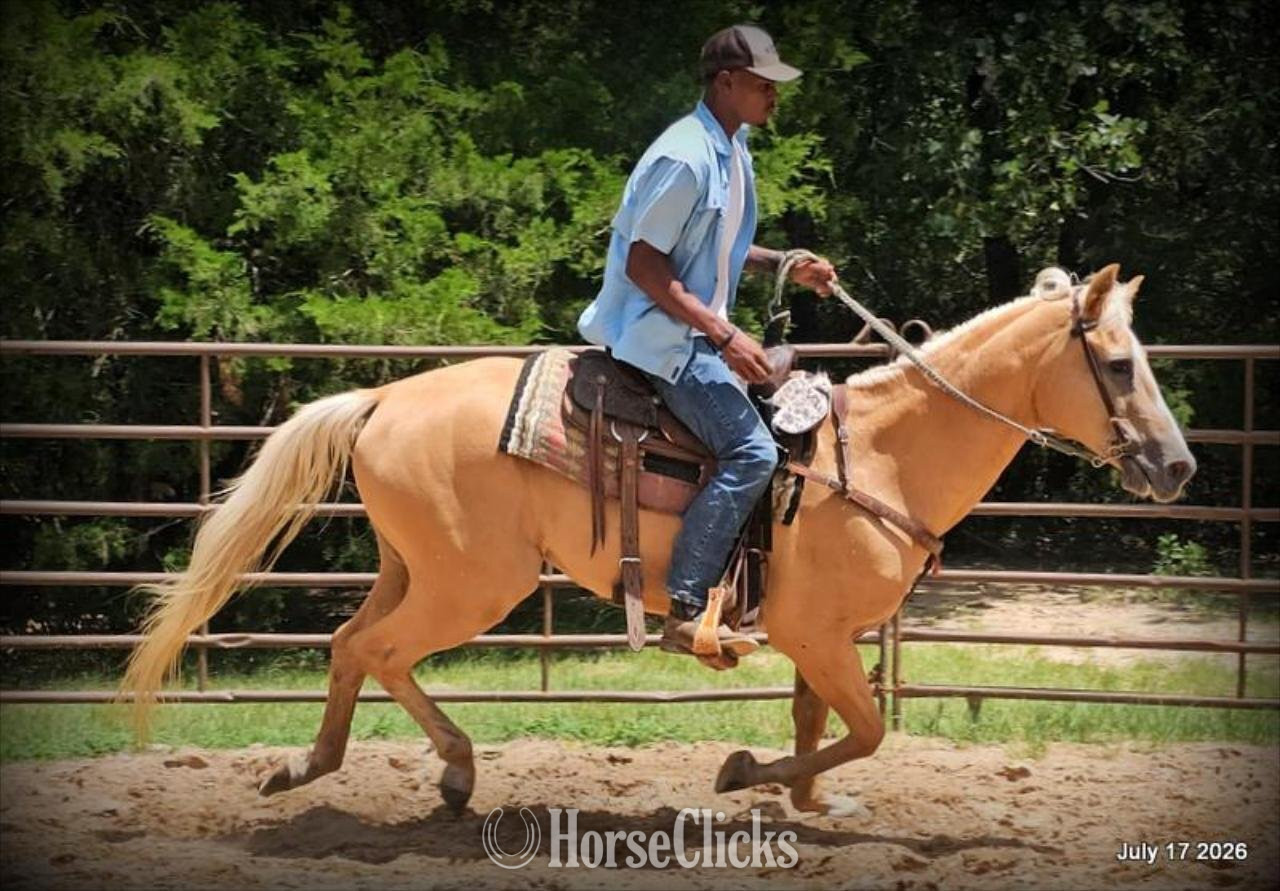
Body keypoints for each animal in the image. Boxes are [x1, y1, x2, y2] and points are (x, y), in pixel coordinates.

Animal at [122, 263, 1195, 817]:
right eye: (1117, 362)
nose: (1178, 465)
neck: (884, 454)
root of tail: (385, 397)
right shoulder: (816, 632)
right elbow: (867, 729)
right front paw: (744, 775)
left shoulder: (823, 636)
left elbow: (821, 723)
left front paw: (810, 806)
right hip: (473, 584)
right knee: (380, 650)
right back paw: (450, 768)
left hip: (413, 568)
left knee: (350, 645)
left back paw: (319, 767)